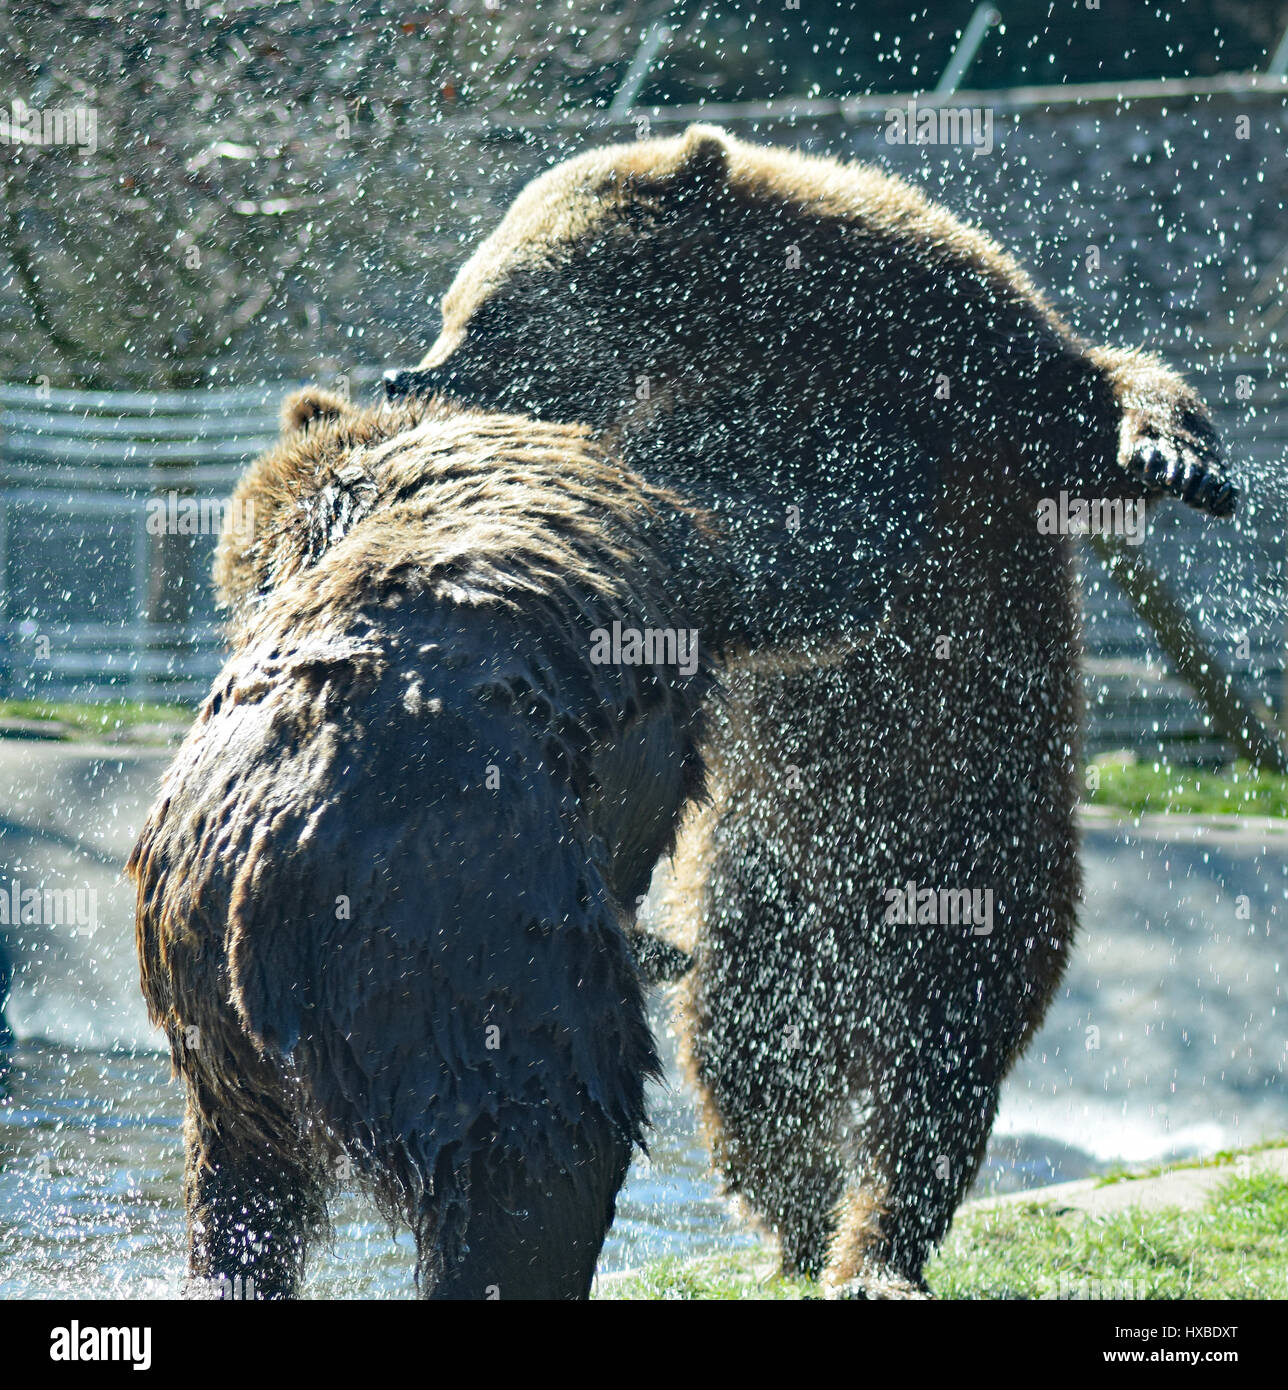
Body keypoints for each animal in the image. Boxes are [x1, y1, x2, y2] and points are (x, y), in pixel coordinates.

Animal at [382, 124, 1237, 1294]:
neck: (780, 344)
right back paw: (796, 1223)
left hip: (984, 862)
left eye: (491, 305)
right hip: (753, 892)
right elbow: (785, 556)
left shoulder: (965, 357)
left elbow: (1093, 392)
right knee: (748, 1065)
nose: (414, 371)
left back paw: (871, 1246)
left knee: (934, 1068)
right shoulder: (723, 437)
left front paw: (1174, 451)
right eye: (459, 303)